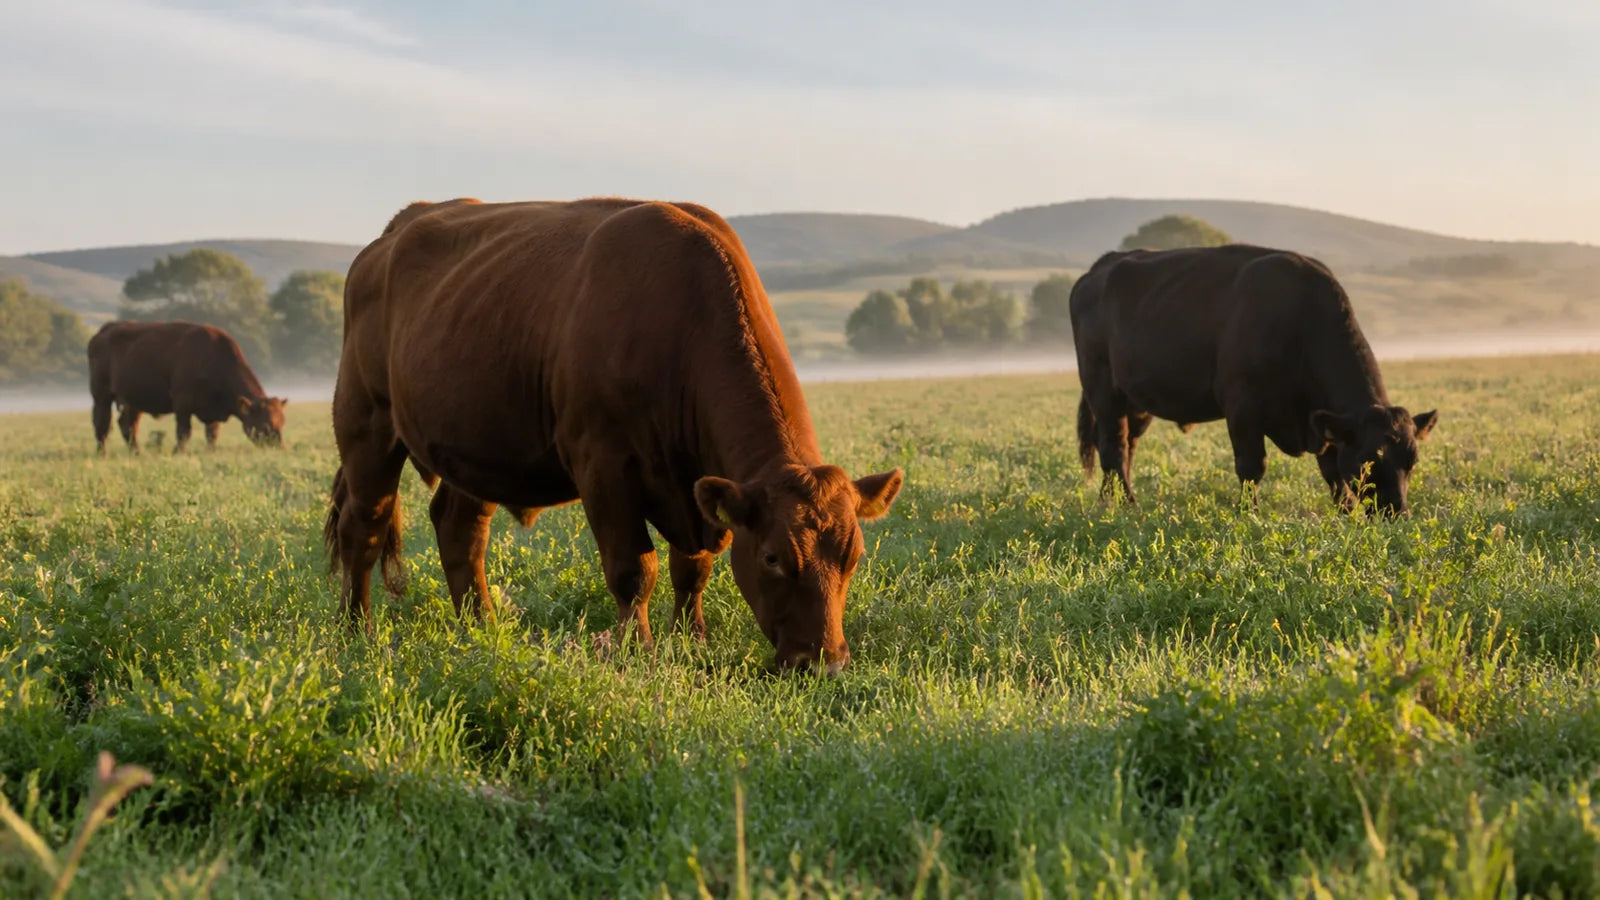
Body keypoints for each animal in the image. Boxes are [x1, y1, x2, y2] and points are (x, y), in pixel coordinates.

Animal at [88, 321, 286, 454]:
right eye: (265, 424)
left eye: (282, 422)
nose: (279, 447)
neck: (213, 357)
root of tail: (104, 331)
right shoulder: (182, 403)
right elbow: (184, 432)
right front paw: (179, 452)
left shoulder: (212, 408)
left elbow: (212, 433)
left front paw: (210, 452)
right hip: (101, 396)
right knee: (102, 424)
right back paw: (102, 453)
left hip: (132, 401)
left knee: (128, 425)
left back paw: (136, 453)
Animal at [324, 198, 904, 673]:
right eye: (773, 558)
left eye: (854, 557)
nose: (823, 663)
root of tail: (392, 233)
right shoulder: (602, 465)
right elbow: (634, 569)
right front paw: (638, 652)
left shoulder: (695, 490)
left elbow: (691, 569)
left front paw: (691, 640)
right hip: (367, 423)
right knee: (363, 529)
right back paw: (357, 633)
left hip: (477, 445)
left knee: (459, 531)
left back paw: (481, 628)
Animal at [1070, 245, 1437, 516]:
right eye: (1367, 462)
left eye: (1412, 461)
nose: (1397, 512)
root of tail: (1100, 267)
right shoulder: (1242, 406)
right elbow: (1252, 465)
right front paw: (1250, 513)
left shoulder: (1322, 420)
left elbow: (1331, 468)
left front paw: (1345, 510)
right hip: (1102, 390)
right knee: (1113, 447)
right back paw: (1125, 505)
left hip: (1137, 402)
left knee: (1127, 446)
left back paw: (1113, 500)